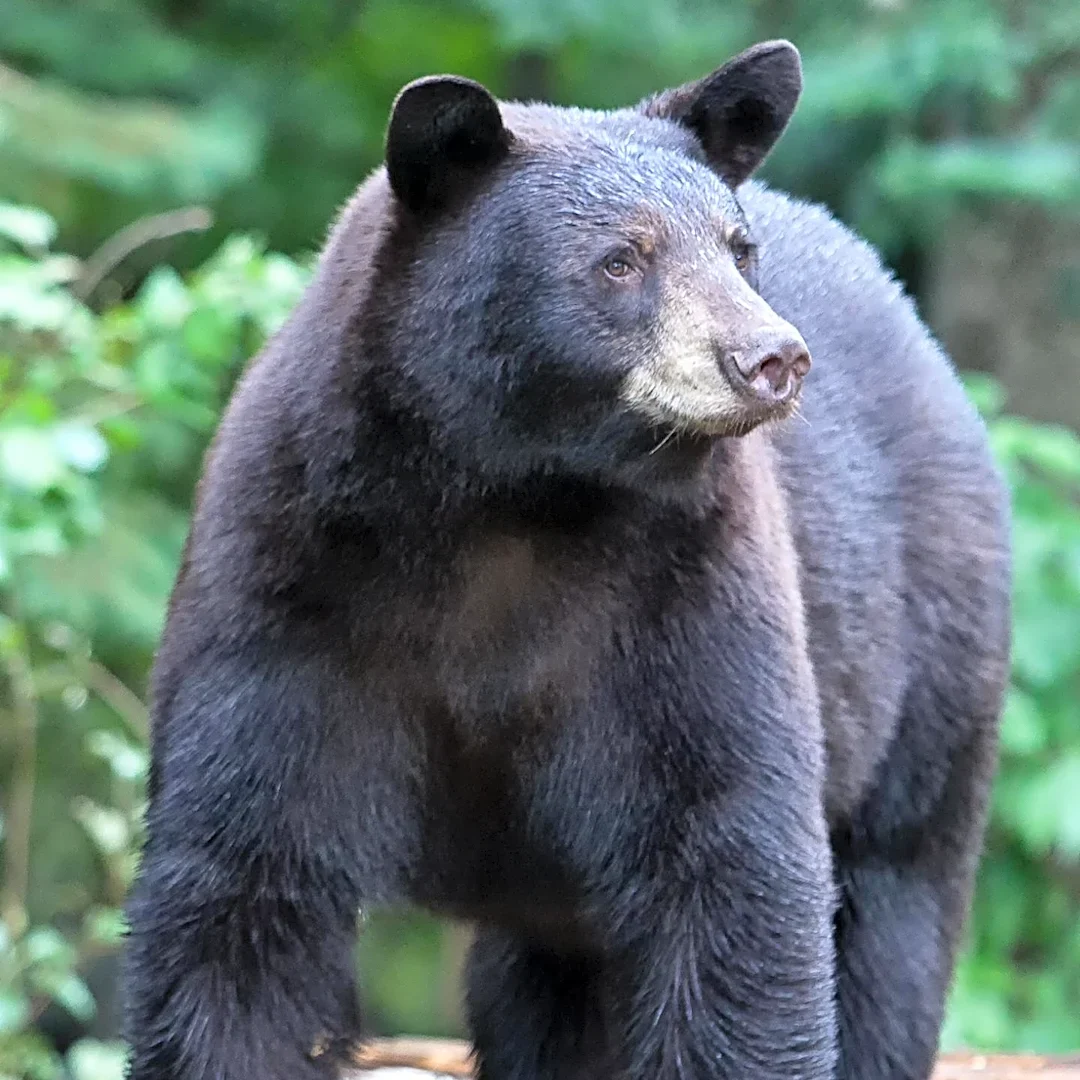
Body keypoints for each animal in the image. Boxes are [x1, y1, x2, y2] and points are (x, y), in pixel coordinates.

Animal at [121, 39, 1011, 1080]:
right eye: (621, 258)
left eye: (738, 248)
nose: (772, 357)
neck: (516, 498)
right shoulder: (290, 583)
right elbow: (245, 887)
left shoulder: (688, 597)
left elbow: (733, 858)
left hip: (932, 658)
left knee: (895, 905)